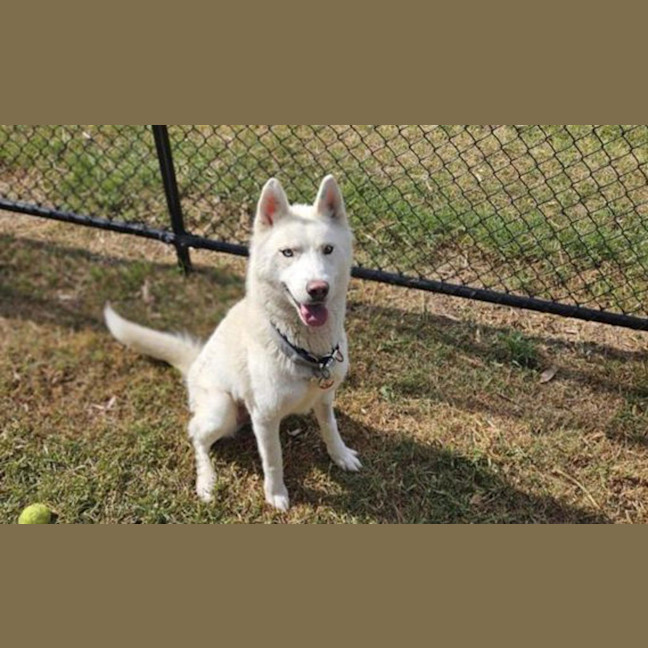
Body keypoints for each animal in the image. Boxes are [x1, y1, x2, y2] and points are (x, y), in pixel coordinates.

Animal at [104, 175, 360, 511]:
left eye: (328, 249)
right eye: (287, 253)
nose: (318, 289)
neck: (305, 351)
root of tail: (194, 364)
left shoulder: (325, 399)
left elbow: (331, 428)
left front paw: (340, 455)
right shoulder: (264, 418)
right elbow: (273, 460)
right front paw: (275, 494)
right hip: (221, 409)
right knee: (195, 435)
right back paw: (206, 481)